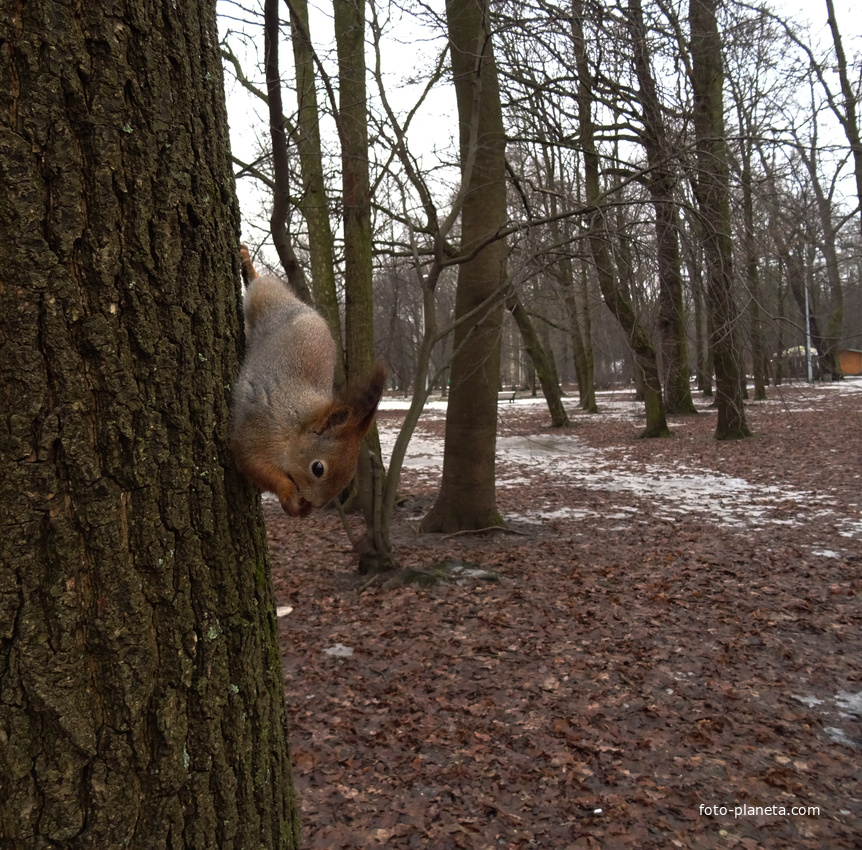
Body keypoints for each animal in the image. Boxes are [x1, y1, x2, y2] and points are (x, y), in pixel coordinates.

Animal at [233, 242, 388, 512]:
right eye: (318, 468)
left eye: (349, 475)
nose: (315, 504)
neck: (296, 424)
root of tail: (301, 305)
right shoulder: (257, 430)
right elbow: (256, 466)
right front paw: (290, 497)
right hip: (263, 299)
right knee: (261, 283)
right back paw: (249, 265)